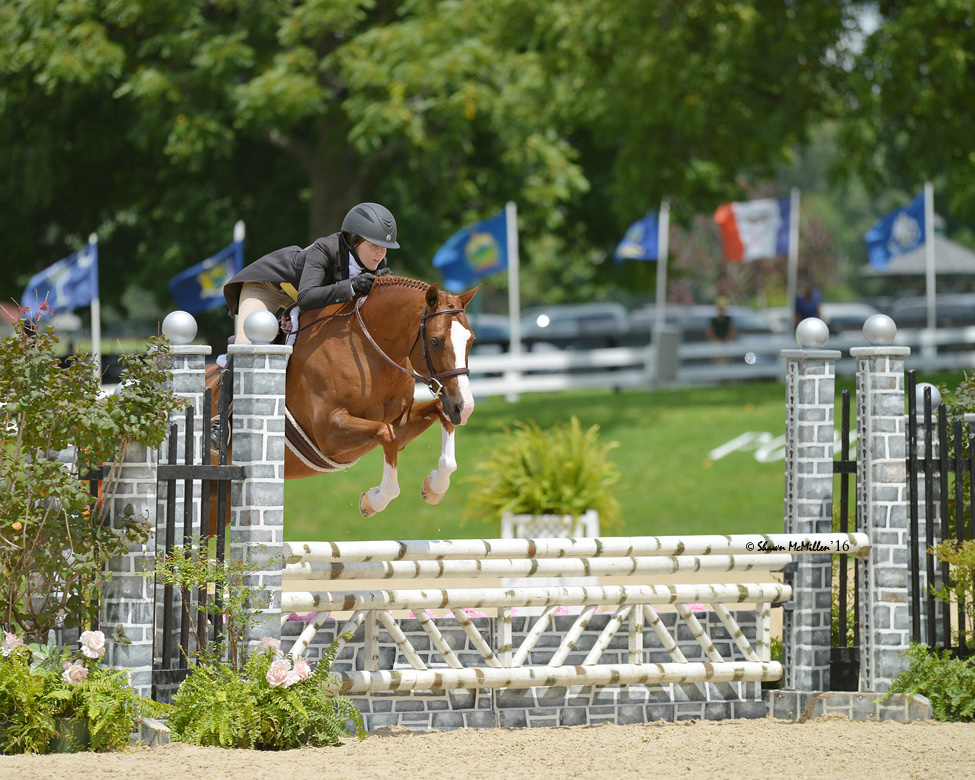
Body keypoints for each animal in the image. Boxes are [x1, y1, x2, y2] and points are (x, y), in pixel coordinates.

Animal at [208, 274, 478, 516]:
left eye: (471, 341)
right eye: (434, 341)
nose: (464, 408)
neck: (368, 350)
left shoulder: (403, 422)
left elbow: (436, 415)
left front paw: (434, 488)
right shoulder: (329, 433)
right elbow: (386, 434)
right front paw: (373, 501)